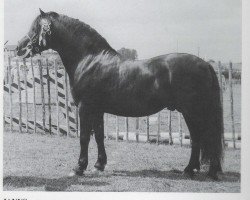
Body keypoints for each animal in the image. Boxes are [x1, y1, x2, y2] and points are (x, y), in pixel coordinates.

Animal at [16, 9, 224, 180]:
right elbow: (99, 135)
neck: (90, 60)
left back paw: (199, 171)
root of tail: (205, 64)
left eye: (35, 28)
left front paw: (79, 168)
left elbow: (84, 137)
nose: (19, 47)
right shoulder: (97, 109)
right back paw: (198, 170)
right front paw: (99, 165)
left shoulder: (85, 107)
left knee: (202, 138)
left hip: (193, 112)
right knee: (201, 138)